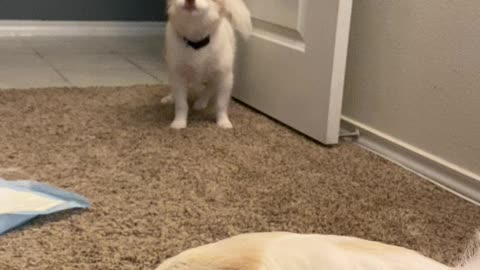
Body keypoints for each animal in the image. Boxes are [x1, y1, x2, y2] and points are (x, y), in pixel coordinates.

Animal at [161, 0, 251, 129]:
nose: (190, 0)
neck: (196, 43)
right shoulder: (178, 75)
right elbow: (181, 103)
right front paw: (179, 122)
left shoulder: (224, 77)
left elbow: (221, 104)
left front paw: (223, 122)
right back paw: (170, 98)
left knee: (210, 87)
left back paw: (201, 102)